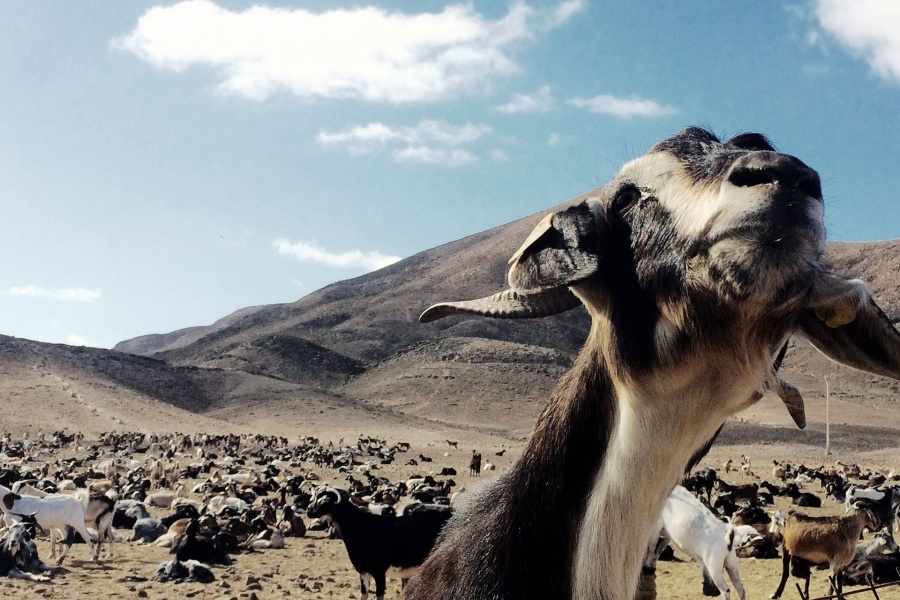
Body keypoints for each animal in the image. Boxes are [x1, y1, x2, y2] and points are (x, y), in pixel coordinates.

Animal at [308, 488, 450, 600]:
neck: (359, 527)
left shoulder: (379, 572)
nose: (309, 512)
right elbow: (363, 595)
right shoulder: (363, 572)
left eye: (324, 501)